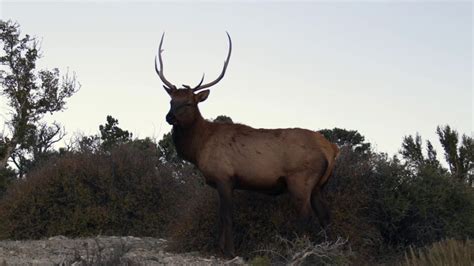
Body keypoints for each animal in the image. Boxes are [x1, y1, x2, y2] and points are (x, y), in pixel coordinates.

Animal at [154, 32, 338, 256]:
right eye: (171, 101)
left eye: (189, 103)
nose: (169, 117)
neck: (198, 149)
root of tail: (330, 149)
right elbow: (220, 216)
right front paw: (219, 249)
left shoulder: (224, 177)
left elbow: (227, 216)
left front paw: (230, 251)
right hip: (319, 185)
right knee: (326, 217)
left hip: (300, 181)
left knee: (307, 218)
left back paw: (300, 252)